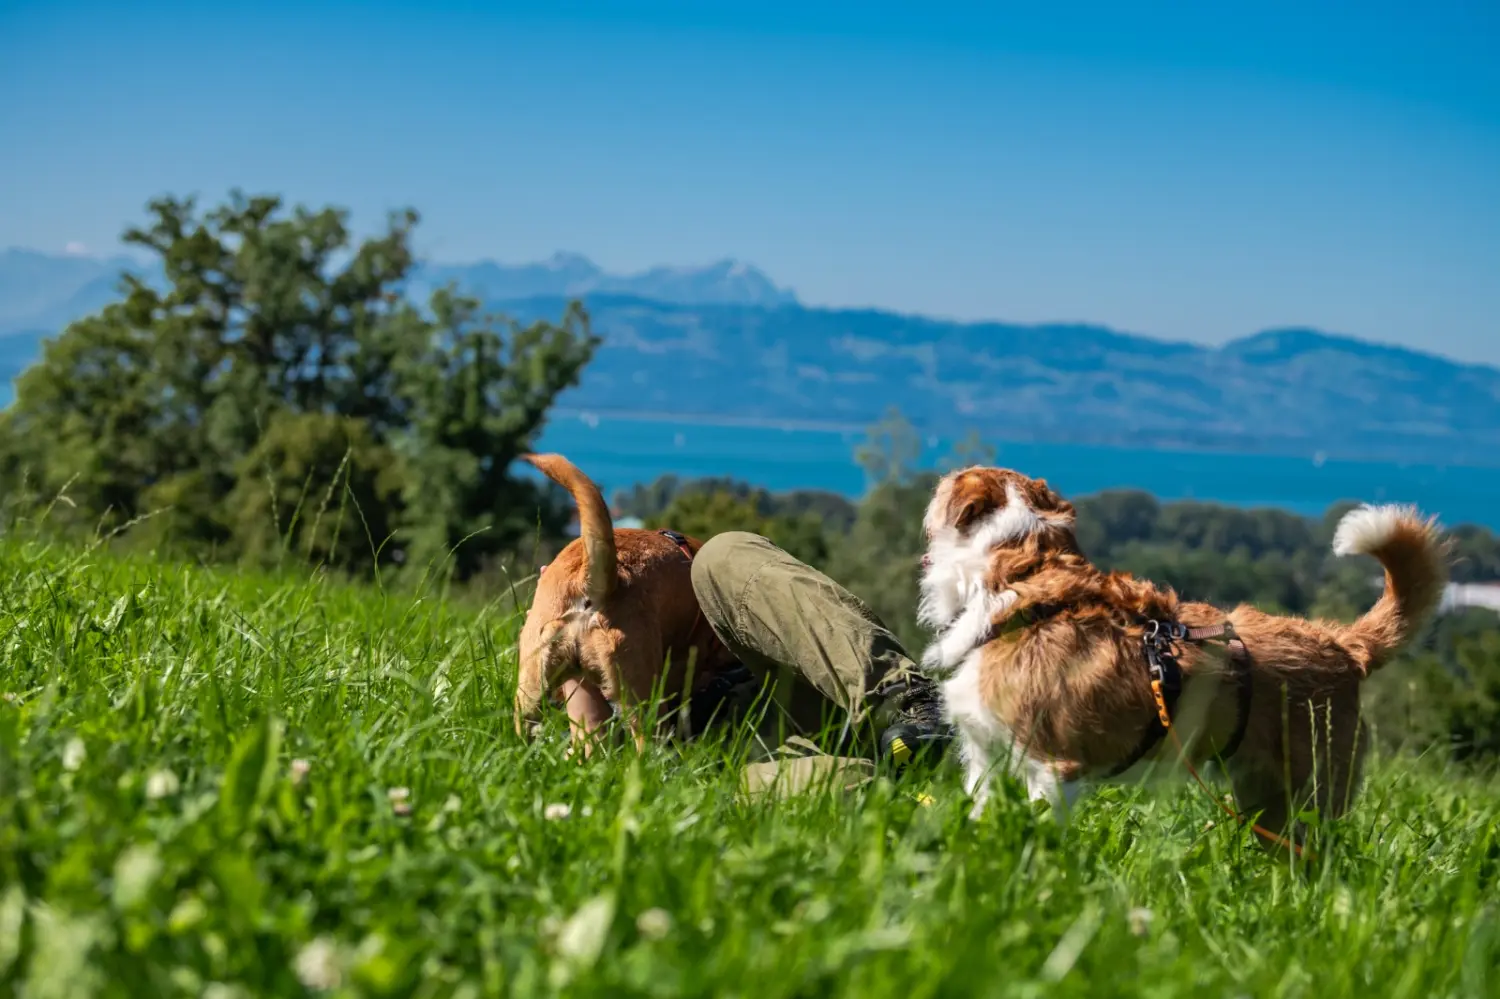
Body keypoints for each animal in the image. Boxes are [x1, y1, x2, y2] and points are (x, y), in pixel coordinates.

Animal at [918, 468, 1446, 840]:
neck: (1024, 580)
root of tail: (1343, 644)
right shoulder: (984, 758)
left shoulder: (1053, 767)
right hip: (1267, 800)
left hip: (1313, 793)